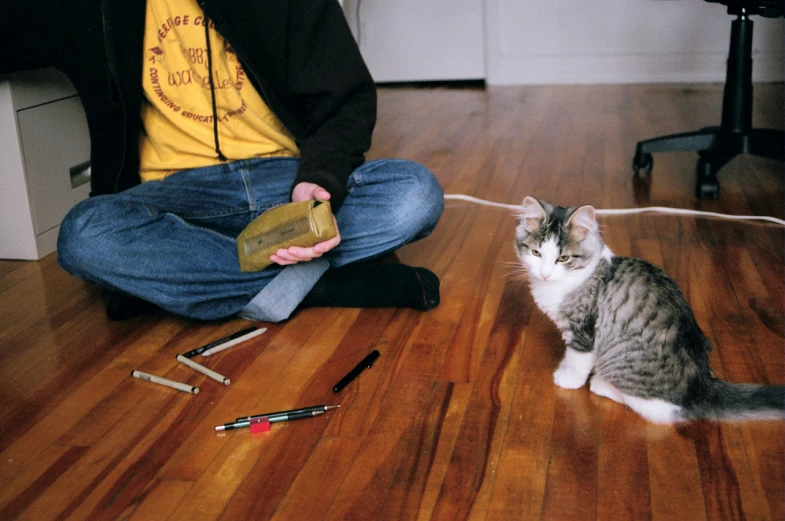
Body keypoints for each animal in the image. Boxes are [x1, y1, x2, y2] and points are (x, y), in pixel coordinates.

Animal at [516, 195, 784, 422]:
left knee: (658, 410)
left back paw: (601, 385)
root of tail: (702, 387)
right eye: (536, 253)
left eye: (563, 258)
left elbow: (577, 361)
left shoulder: (583, 331)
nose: (545, 273)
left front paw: (568, 379)